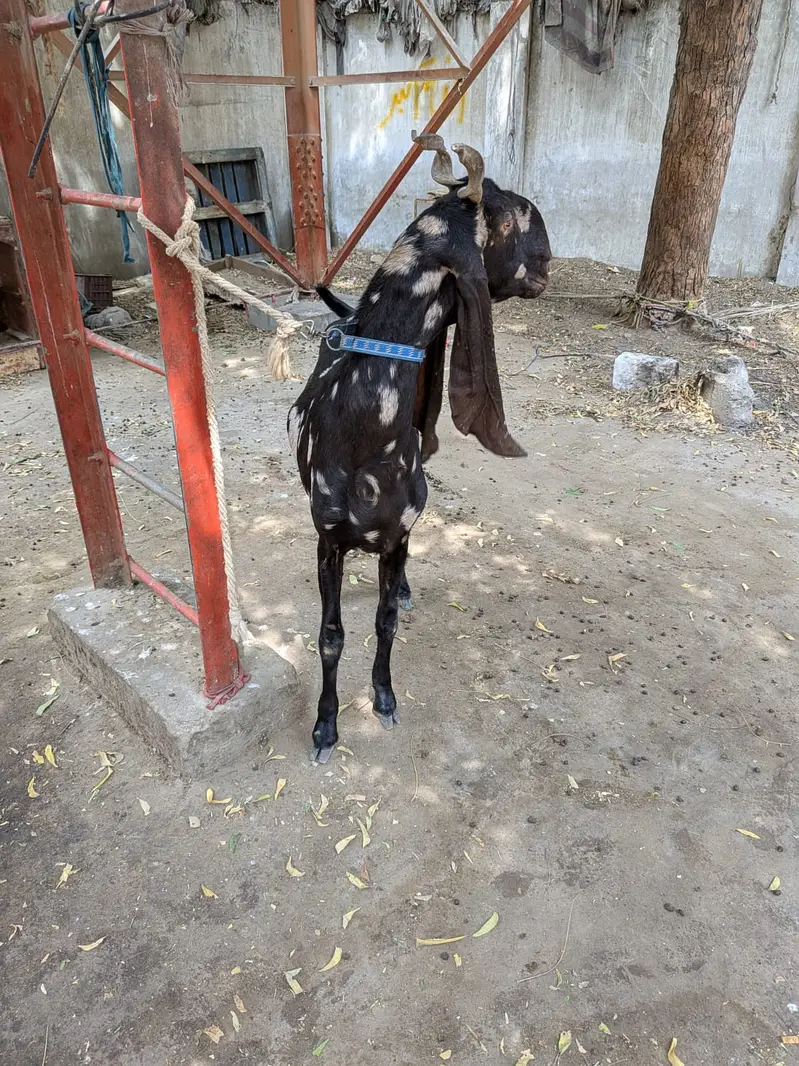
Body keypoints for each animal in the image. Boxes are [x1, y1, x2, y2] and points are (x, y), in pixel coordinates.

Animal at [288, 134, 551, 761]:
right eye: (510, 215)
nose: (549, 263)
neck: (362, 429)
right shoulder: (327, 541)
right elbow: (330, 635)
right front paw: (326, 726)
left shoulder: (397, 533)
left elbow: (385, 621)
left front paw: (383, 699)